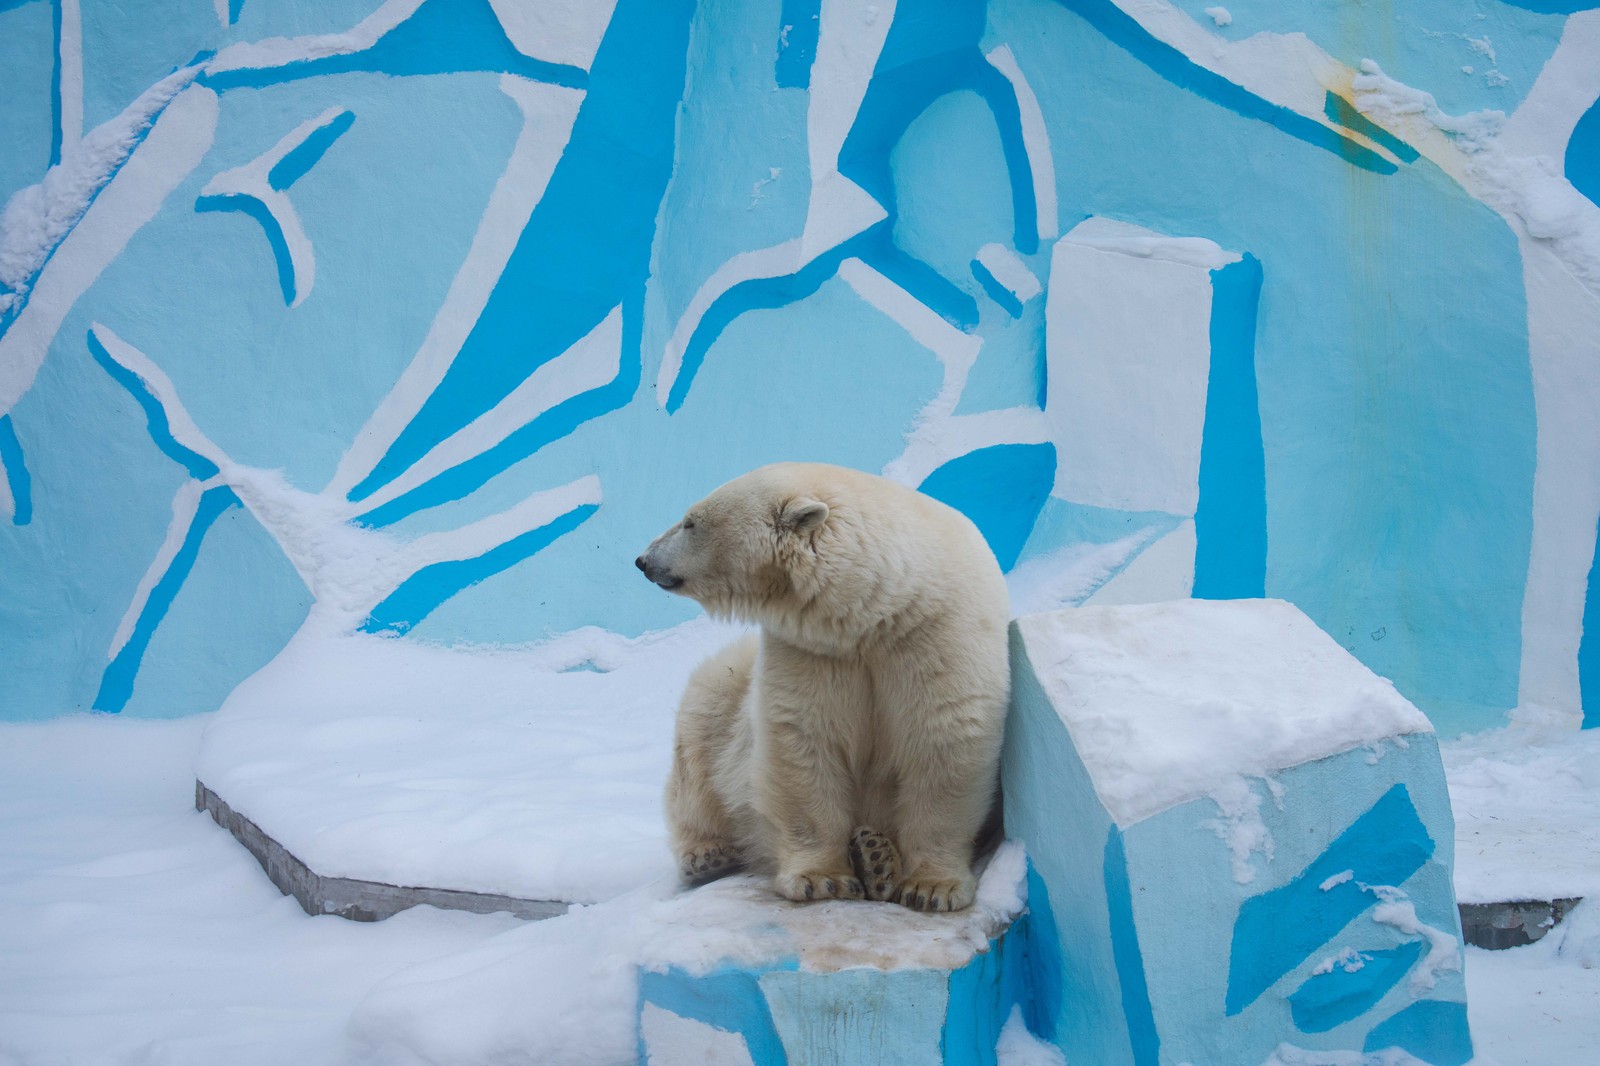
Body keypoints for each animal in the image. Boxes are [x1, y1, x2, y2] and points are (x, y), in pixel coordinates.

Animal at [633, 460, 998, 909]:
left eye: (690, 522)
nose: (643, 560)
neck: (881, 610)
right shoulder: (811, 651)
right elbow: (804, 743)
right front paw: (823, 878)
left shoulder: (938, 635)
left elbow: (946, 740)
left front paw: (932, 887)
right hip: (725, 685)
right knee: (698, 754)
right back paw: (708, 854)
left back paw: (877, 857)